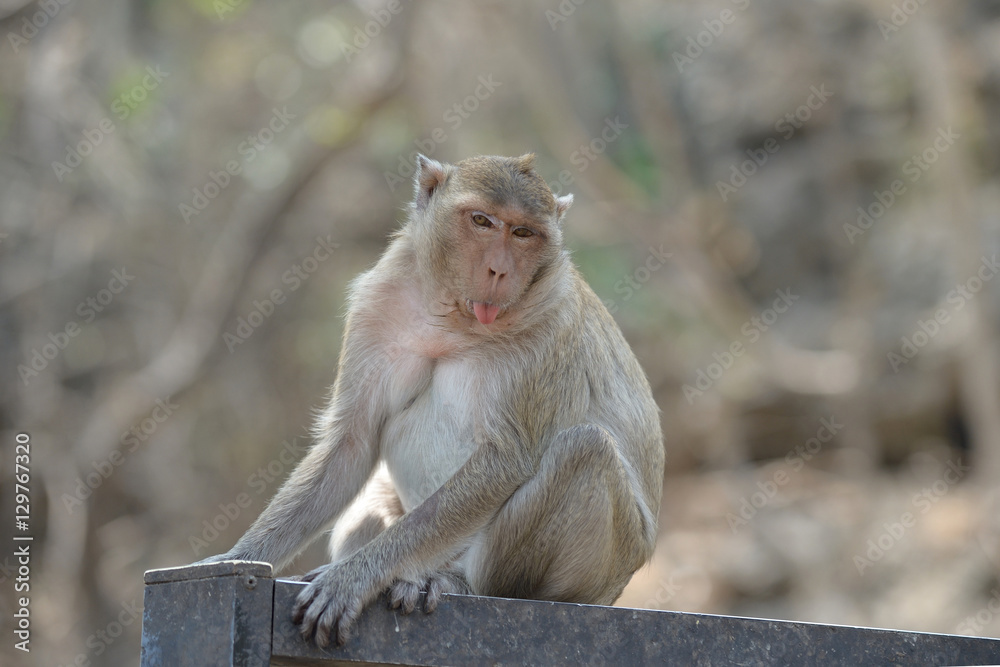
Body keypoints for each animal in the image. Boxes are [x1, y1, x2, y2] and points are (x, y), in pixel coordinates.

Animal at [198, 153, 664, 648]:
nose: (499, 271)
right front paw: (239, 557)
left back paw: (455, 581)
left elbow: (505, 458)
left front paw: (354, 577)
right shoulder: (376, 304)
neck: (454, 316)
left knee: (585, 448)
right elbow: (352, 442)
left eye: (523, 233)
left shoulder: (549, 324)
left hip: (600, 569)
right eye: (482, 221)